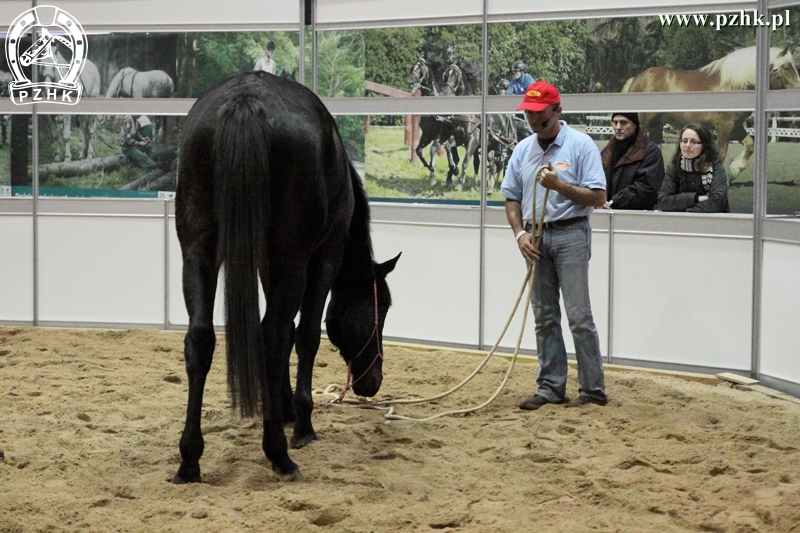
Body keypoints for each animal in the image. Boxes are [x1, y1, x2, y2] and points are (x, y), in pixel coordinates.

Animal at [175, 70, 400, 482]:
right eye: (384, 309)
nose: (372, 381)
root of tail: (245, 103)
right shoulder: (324, 255)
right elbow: (306, 334)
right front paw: (301, 422)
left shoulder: (269, 262)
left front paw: (281, 409)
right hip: (294, 260)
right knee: (274, 336)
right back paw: (279, 453)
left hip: (198, 249)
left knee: (201, 339)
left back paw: (189, 459)